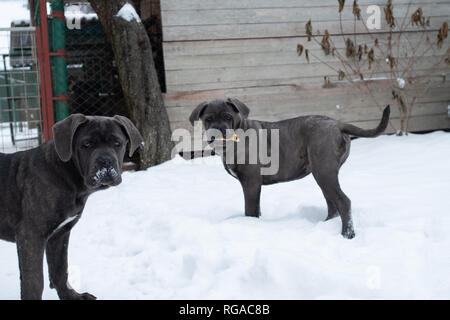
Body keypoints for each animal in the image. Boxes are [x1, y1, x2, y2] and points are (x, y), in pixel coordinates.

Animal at [0, 114, 142, 298]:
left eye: (117, 143)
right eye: (87, 144)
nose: (105, 161)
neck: (66, 174)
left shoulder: (60, 234)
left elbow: (60, 269)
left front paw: (72, 296)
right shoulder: (30, 235)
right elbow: (34, 281)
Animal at [190, 99, 390, 239]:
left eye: (228, 117)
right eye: (208, 119)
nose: (217, 133)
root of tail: (338, 124)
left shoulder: (251, 183)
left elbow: (250, 210)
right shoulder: (254, 185)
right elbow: (256, 210)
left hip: (323, 171)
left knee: (343, 201)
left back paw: (347, 235)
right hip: (324, 173)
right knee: (332, 203)